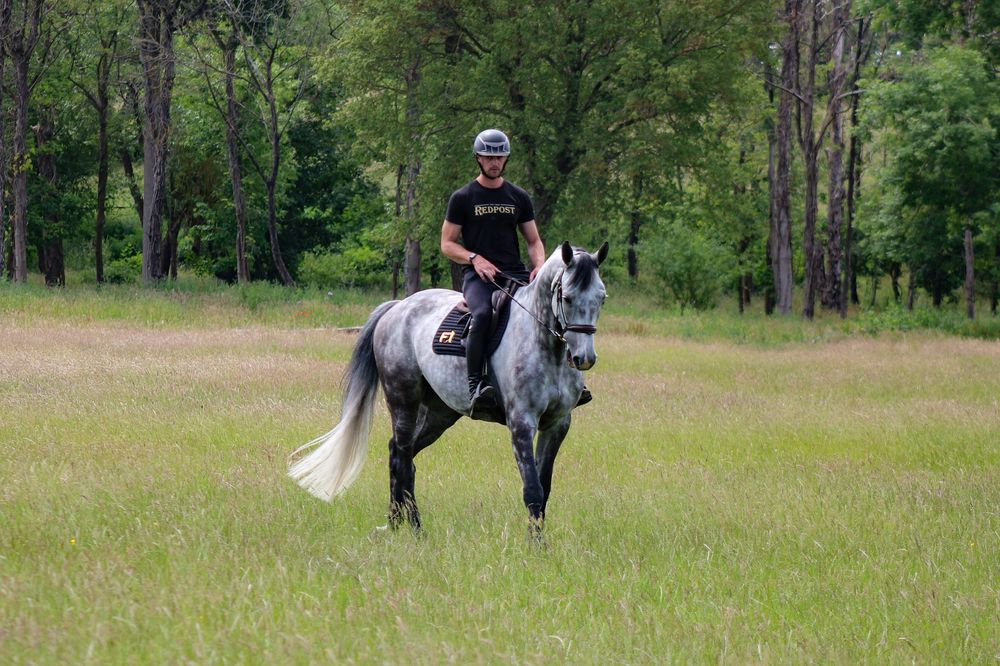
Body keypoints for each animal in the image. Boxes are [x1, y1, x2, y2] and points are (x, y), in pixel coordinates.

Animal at [289, 241, 608, 534]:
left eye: (601, 298)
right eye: (566, 298)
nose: (584, 359)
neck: (545, 345)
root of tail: (398, 307)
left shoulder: (557, 424)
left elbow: (545, 487)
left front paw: (539, 540)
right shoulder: (521, 423)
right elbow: (532, 489)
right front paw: (536, 546)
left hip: (439, 414)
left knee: (399, 452)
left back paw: (395, 521)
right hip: (403, 401)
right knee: (403, 456)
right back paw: (415, 528)